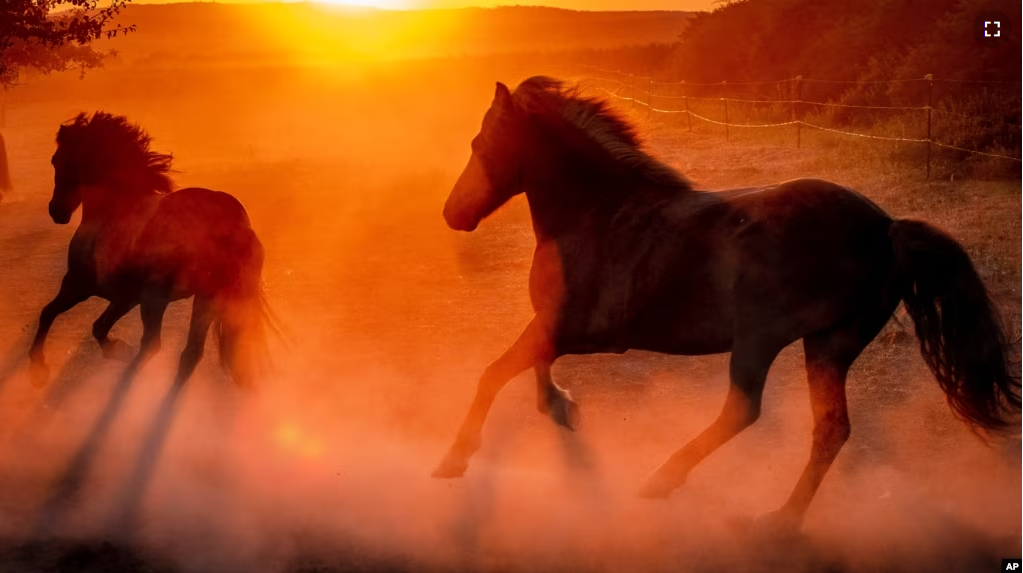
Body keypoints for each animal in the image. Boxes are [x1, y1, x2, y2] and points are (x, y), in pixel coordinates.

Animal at [31, 113, 270, 392]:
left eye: (56, 160)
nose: (56, 211)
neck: (112, 209)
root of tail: (233, 222)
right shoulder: (126, 297)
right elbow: (98, 327)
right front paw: (117, 349)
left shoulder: (78, 285)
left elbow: (48, 313)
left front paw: (38, 369)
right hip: (206, 299)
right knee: (190, 353)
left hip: (157, 299)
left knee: (153, 344)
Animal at [433, 76, 1023, 527]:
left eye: (479, 144)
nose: (451, 214)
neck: (598, 214)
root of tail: (886, 227)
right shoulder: (557, 327)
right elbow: (531, 366)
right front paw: (561, 407)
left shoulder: (576, 329)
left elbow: (496, 371)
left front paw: (453, 460)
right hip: (829, 343)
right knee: (830, 428)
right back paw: (781, 519)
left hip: (761, 339)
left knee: (744, 409)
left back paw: (662, 481)